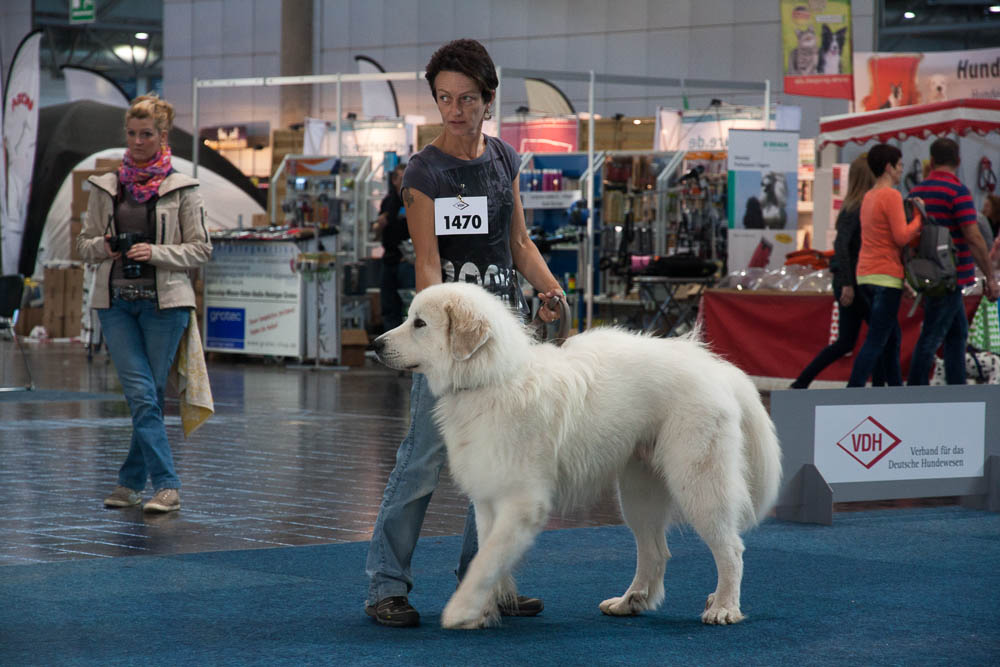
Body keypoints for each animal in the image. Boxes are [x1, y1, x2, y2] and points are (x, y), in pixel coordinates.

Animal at [374, 284, 780, 632]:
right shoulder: (488, 499)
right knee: (655, 551)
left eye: (419, 323)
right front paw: (483, 611)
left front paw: (460, 610)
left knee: (730, 549)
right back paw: (631, 601)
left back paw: (723, 607)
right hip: (639, 493)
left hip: (698, 482)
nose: (376, 344)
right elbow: (484, 559)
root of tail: (716, 368)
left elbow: (486, 559)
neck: (491, 378)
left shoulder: (523, 501)